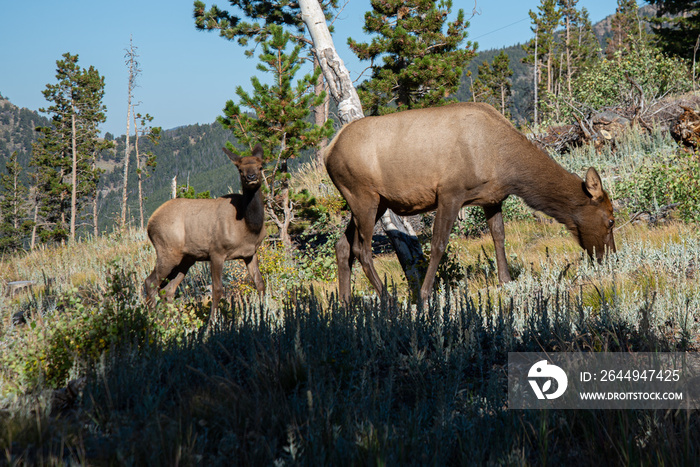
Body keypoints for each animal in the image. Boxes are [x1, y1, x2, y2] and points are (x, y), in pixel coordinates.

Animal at [144, 144, 266, 316]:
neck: (249, 226)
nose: (251, 177)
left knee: (168, 289)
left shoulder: (250, 253)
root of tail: (149, 223)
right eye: (240, 169)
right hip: (167, 252)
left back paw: (171, 320)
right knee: (150, 282)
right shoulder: (216, 252)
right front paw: (213, 320)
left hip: (186, 259)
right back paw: (153, 318)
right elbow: (217, 290)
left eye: (261, 166)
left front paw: (264, 312)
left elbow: (259, 283)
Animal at [326, 103, 616, 304]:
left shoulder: (492, 198)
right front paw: (424, 295)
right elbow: (438, 244)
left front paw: (505, 281)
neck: (507, 165)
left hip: (376, 203)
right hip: (364, 196)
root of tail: (327, 152)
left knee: (343, 245)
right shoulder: (450, 193)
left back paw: (345, 305)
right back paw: (388, 300)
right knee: (362, 249)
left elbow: (498, 235)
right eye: (611, 220)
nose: (611, 256)